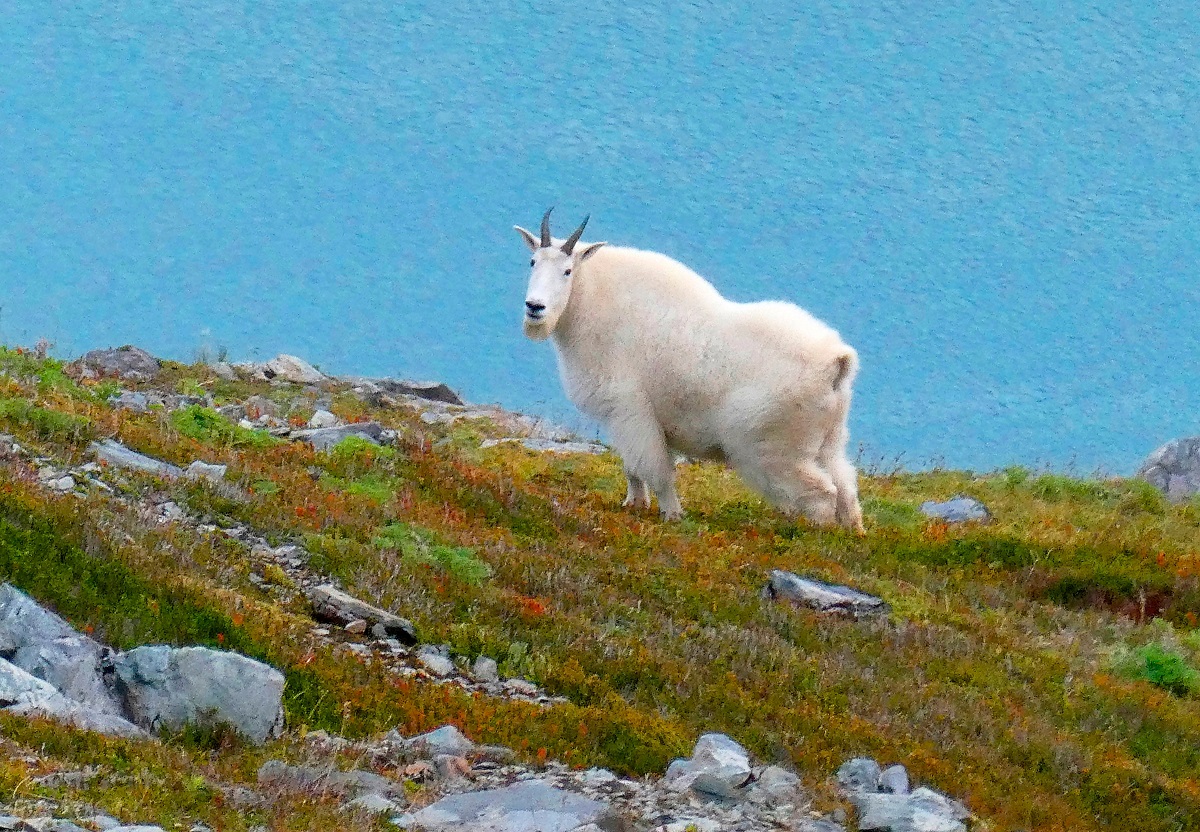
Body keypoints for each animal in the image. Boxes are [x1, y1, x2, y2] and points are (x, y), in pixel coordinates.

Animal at [513, 208, 864, 533]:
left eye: (567, 270)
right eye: (532, 262)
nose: (535, 307)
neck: (593, 303)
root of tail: (837, 361)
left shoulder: (631, 409)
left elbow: (655, 468)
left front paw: (671, 513)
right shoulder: (623, 417)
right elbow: (632, 467)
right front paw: (634, 504)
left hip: (776, 447)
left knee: (820, 494)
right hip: (829, 438)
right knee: (845, 485)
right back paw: (853, 534)